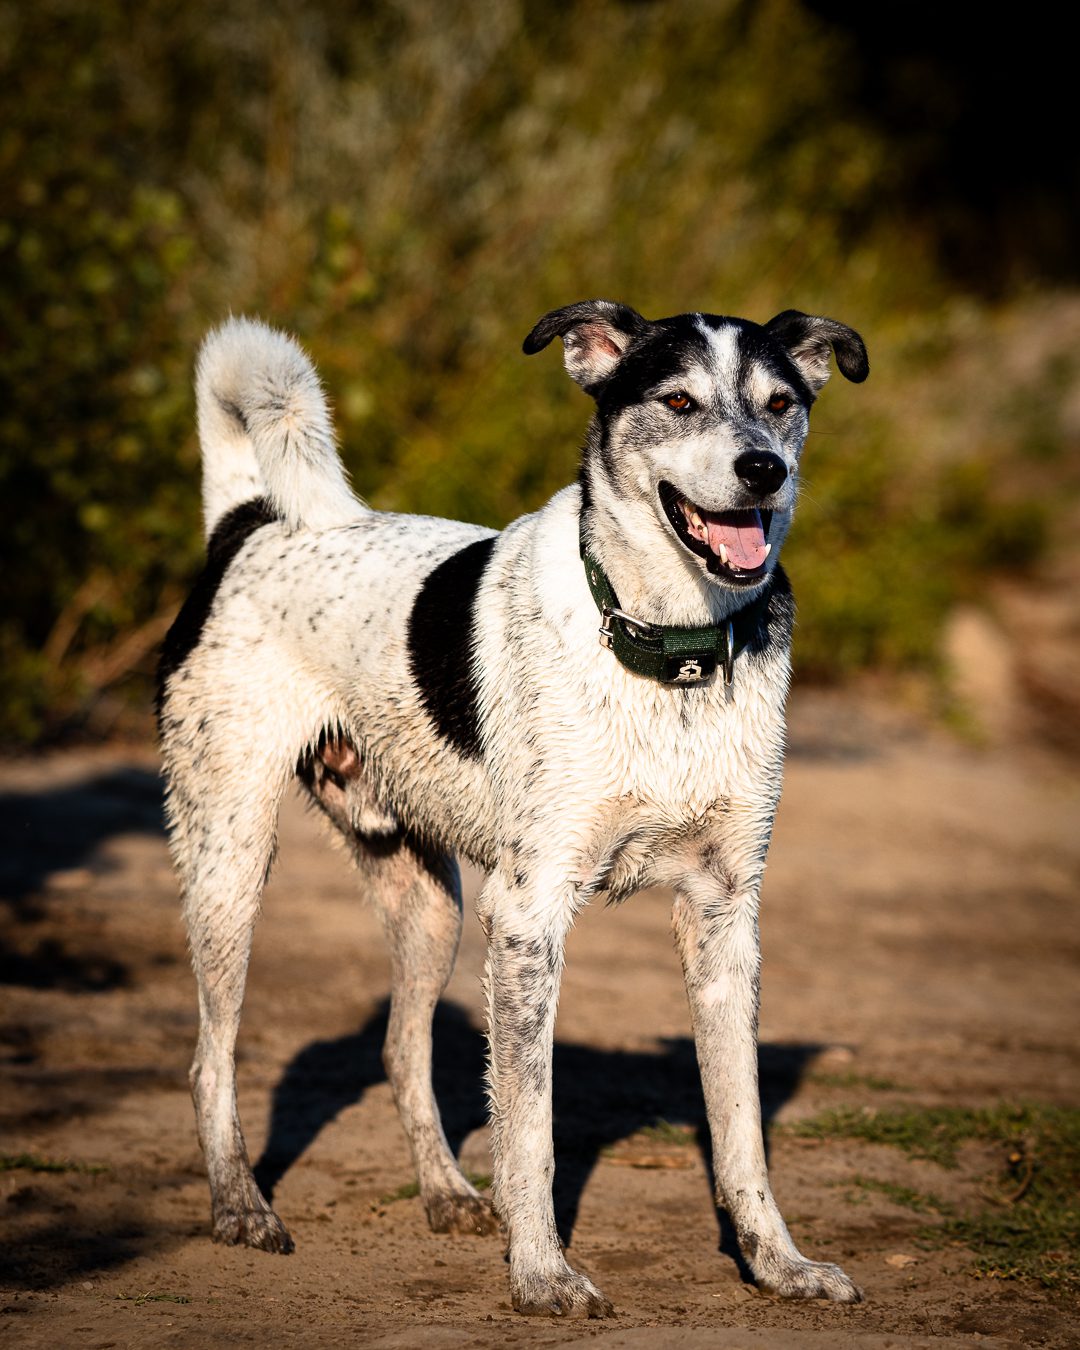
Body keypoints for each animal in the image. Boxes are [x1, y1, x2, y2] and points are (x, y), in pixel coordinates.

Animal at [157, 299, 868, 1317]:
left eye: (781, 403)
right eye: (677, 400)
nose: (762, 470)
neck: (671, 652)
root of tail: (245, 525)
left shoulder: (726, 915)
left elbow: (741, 1133)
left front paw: (778, 1264)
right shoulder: (530, 918)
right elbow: (531, 1127)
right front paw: (541, 1272)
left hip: (431, 908)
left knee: (401, 1051)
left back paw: (448, 1194)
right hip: (230, 862)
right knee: (210, 1057)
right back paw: (241, 1208)